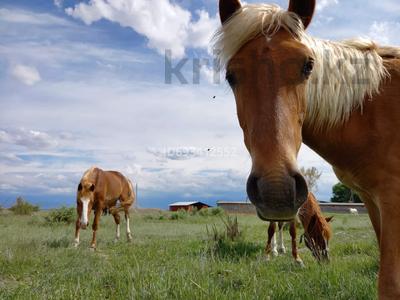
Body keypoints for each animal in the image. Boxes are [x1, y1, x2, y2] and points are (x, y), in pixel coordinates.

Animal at [216, 0, 400, 298]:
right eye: (231, 75)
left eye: (308, 66)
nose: (276, 192)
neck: (369, 109)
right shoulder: (374, 201)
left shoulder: (390, 199)